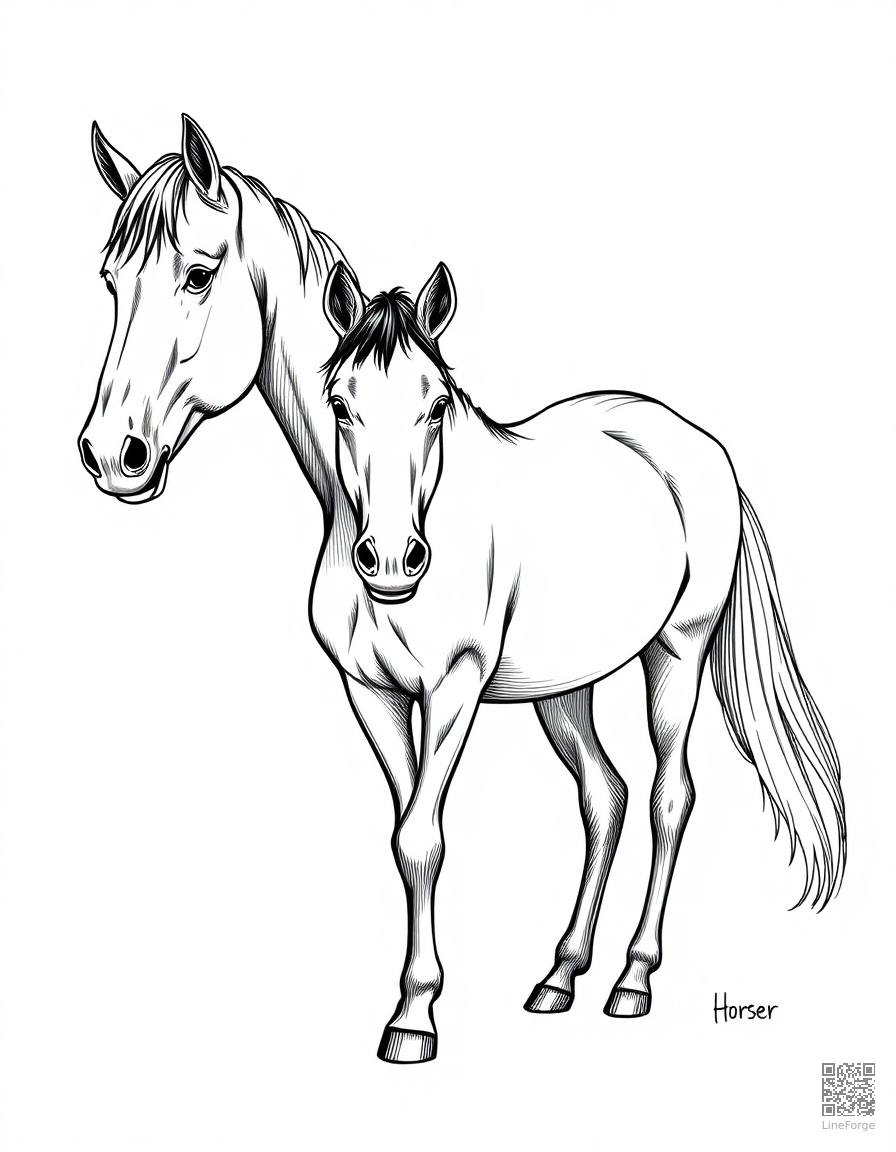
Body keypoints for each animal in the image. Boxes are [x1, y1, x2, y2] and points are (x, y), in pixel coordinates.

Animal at [315, 260, 846, 1063]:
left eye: (436, 406)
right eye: (341, 405)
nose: (392, 560)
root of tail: (698, 442)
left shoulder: (454, 685)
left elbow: (422, 837)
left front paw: (414, 1018)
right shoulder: (370, 692)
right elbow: (409, 832)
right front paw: (413, 1008)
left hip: (677, 652)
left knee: (668, 796)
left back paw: (633, 980)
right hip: (564, 685)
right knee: (605, 793)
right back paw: (559, 976)